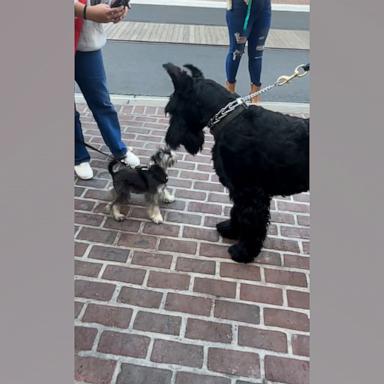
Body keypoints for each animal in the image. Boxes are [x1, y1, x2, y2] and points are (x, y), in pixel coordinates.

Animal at [163, 63, 308, 264]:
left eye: (171, 109)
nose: (169, 139)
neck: (228, 119)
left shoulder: (250, 192)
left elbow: (251, 222)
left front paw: (244, 252)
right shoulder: (238, 189)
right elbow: (236, 210)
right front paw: (231, 229)